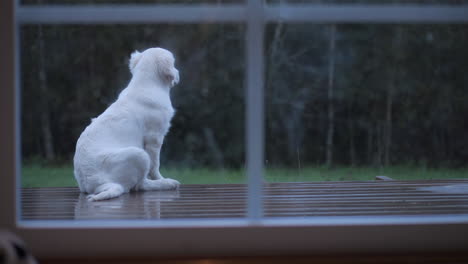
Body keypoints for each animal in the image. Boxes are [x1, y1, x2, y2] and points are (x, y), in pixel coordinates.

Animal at [74, 47, 180, 201]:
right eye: (174, 63)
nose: (178, 73)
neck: (146, 84)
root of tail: (93, 184)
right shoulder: (155, 138)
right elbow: (155, 165)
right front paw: (160, 178)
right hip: (139, 155)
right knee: (139, 186)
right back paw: (167, 183)